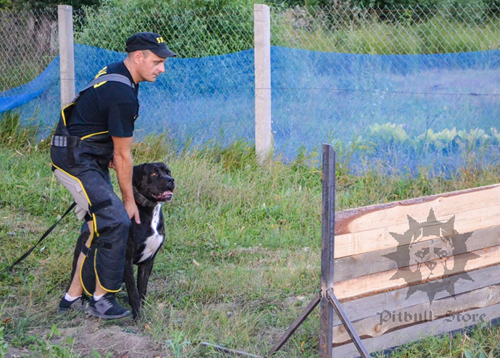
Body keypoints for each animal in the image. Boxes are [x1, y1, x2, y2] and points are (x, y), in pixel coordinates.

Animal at [70, 162, 176, 318]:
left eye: (168, 172)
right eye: (153, 174)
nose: (171, 180)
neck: (150, 211)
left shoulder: (148, 261)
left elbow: (141, 290)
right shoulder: (126, 260)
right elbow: (133, 292)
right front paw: (137, 316)